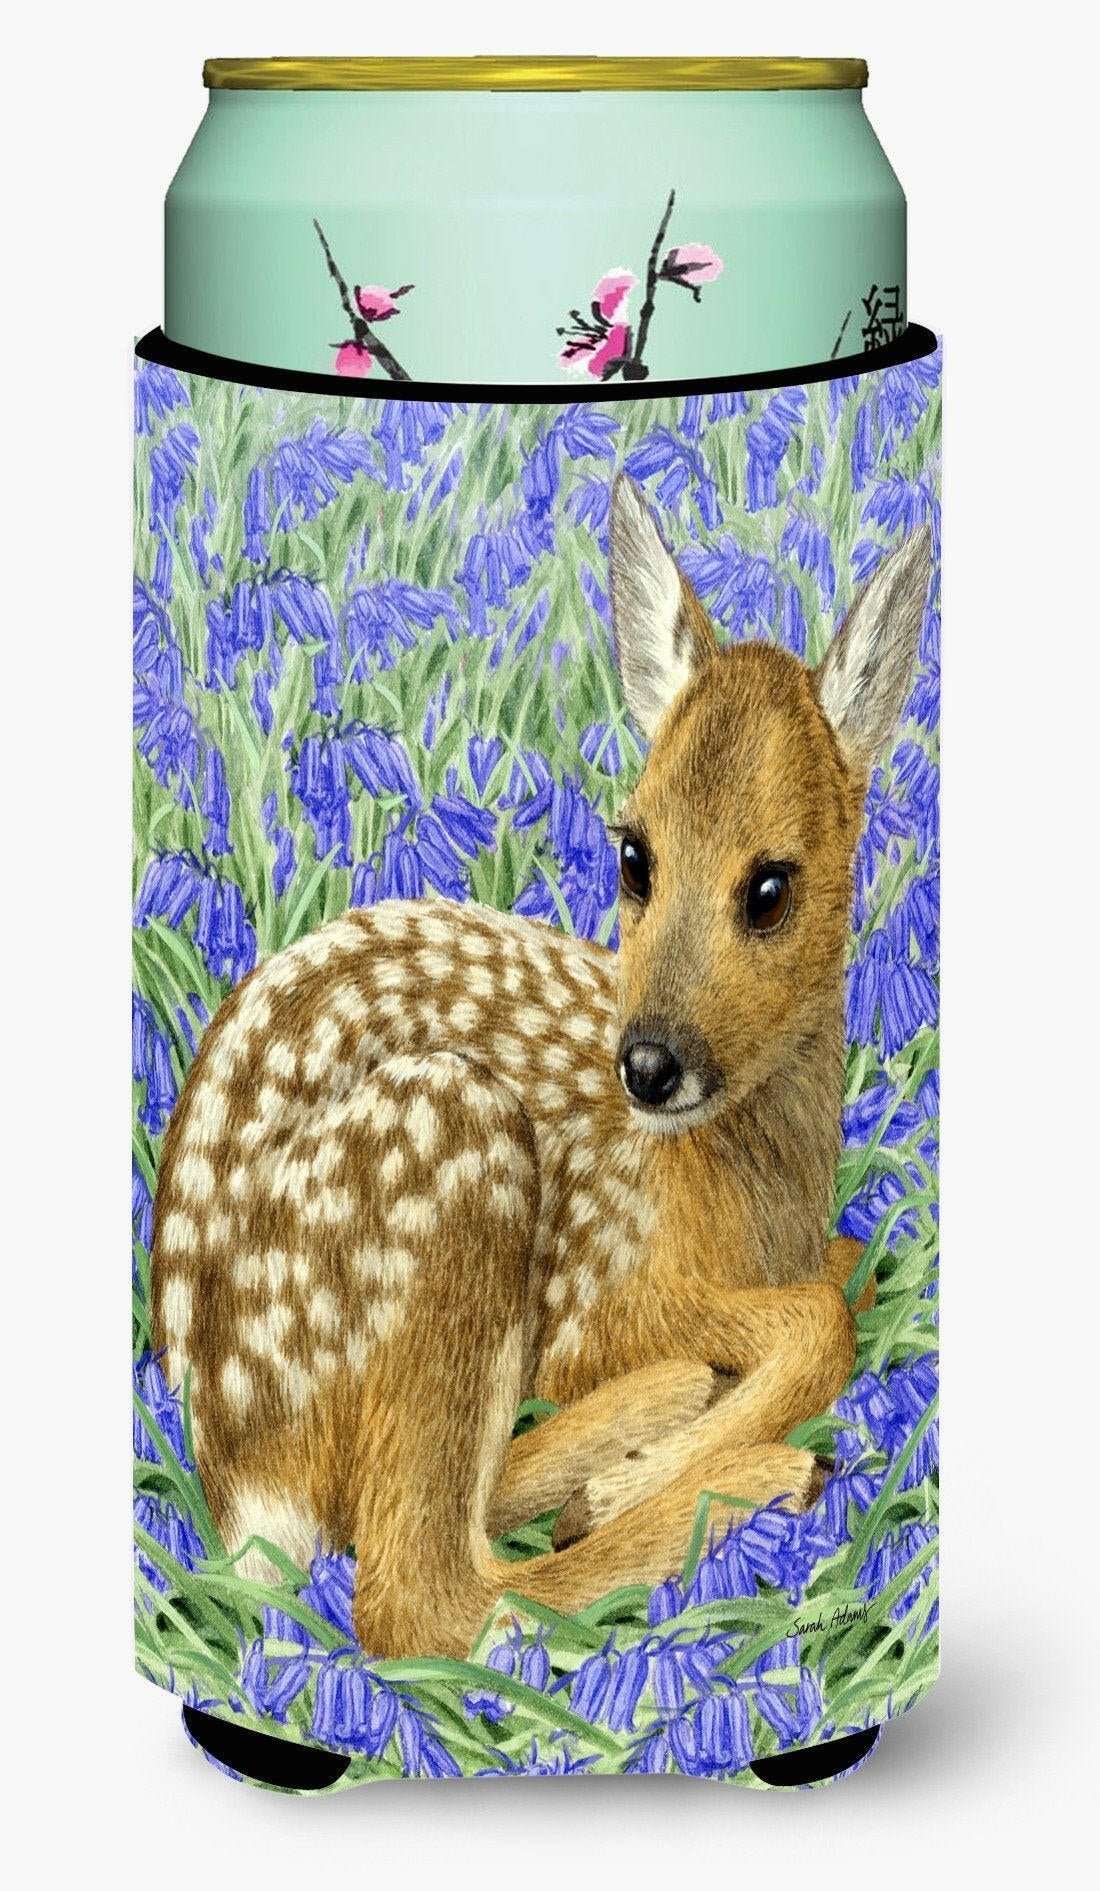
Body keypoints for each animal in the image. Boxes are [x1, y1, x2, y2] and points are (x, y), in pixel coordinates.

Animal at [151, 476, 932, 1661]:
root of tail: (235, 1480)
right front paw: (640, 1475)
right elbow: (817, 1317)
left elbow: (853, 1277)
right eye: (633, 853)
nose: (647, 1064)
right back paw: (735, 1469)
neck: (748, 1200)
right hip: (450, 1149)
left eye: (771, 886)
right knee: (419, 1595)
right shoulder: (593, 1301)